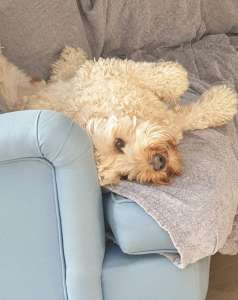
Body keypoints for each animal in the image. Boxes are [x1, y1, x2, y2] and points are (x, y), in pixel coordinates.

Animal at [0, 47, 237, 185]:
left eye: (119, 143)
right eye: (122, 176)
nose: (158, 164)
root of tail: (22, 102)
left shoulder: (108, 69)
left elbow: (170, 80)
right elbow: (189, 117)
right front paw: (225, 102)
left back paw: (71, 57)